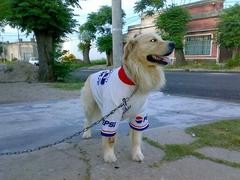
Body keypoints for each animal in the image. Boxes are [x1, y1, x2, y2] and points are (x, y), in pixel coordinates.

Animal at [80, 32, 174, 163]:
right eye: (153, 40)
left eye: (161, 38)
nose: (173, 44)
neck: (134, 80)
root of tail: (91, 75)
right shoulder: (112, 116)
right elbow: (110, 139)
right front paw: (109, 156)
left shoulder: (140, 115)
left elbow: (136, 139)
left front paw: (137, 154)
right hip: (90, 106)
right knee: (87, 120)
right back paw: (86, 133)